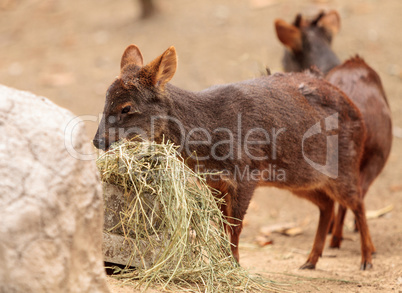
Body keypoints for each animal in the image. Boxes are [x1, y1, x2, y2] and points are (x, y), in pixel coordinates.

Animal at [92, 44, 376, 270]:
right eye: (104, 102)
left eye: (127, 108)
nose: (97, 141)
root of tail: (359, 115)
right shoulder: (214, 182)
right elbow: (222, 226)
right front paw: (221, 262)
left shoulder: (247, 174)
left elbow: (236, 226)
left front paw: (234, 265)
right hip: (299, 180)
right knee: (326, 204)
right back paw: (310, 261)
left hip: (344, 166)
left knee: (358, 201)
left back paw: (366, 258)